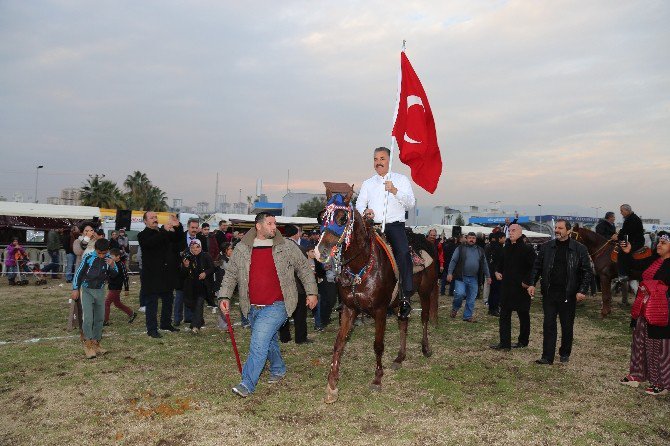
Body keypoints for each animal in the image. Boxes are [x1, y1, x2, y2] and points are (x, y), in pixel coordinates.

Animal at [316, 185, 440, 404]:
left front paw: (377, 379)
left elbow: (378, 345)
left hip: (425, 293)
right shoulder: (349, 309)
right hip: (402, 301)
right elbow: (339, 343)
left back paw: (426, 348)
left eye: (342, 218)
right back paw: (400, 357)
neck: (361, 265)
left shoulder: (380, 311)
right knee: (403, 322)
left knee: (424, 318)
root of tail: (427, 241)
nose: (320, 252)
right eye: (322, 217)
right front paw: (332, 385)